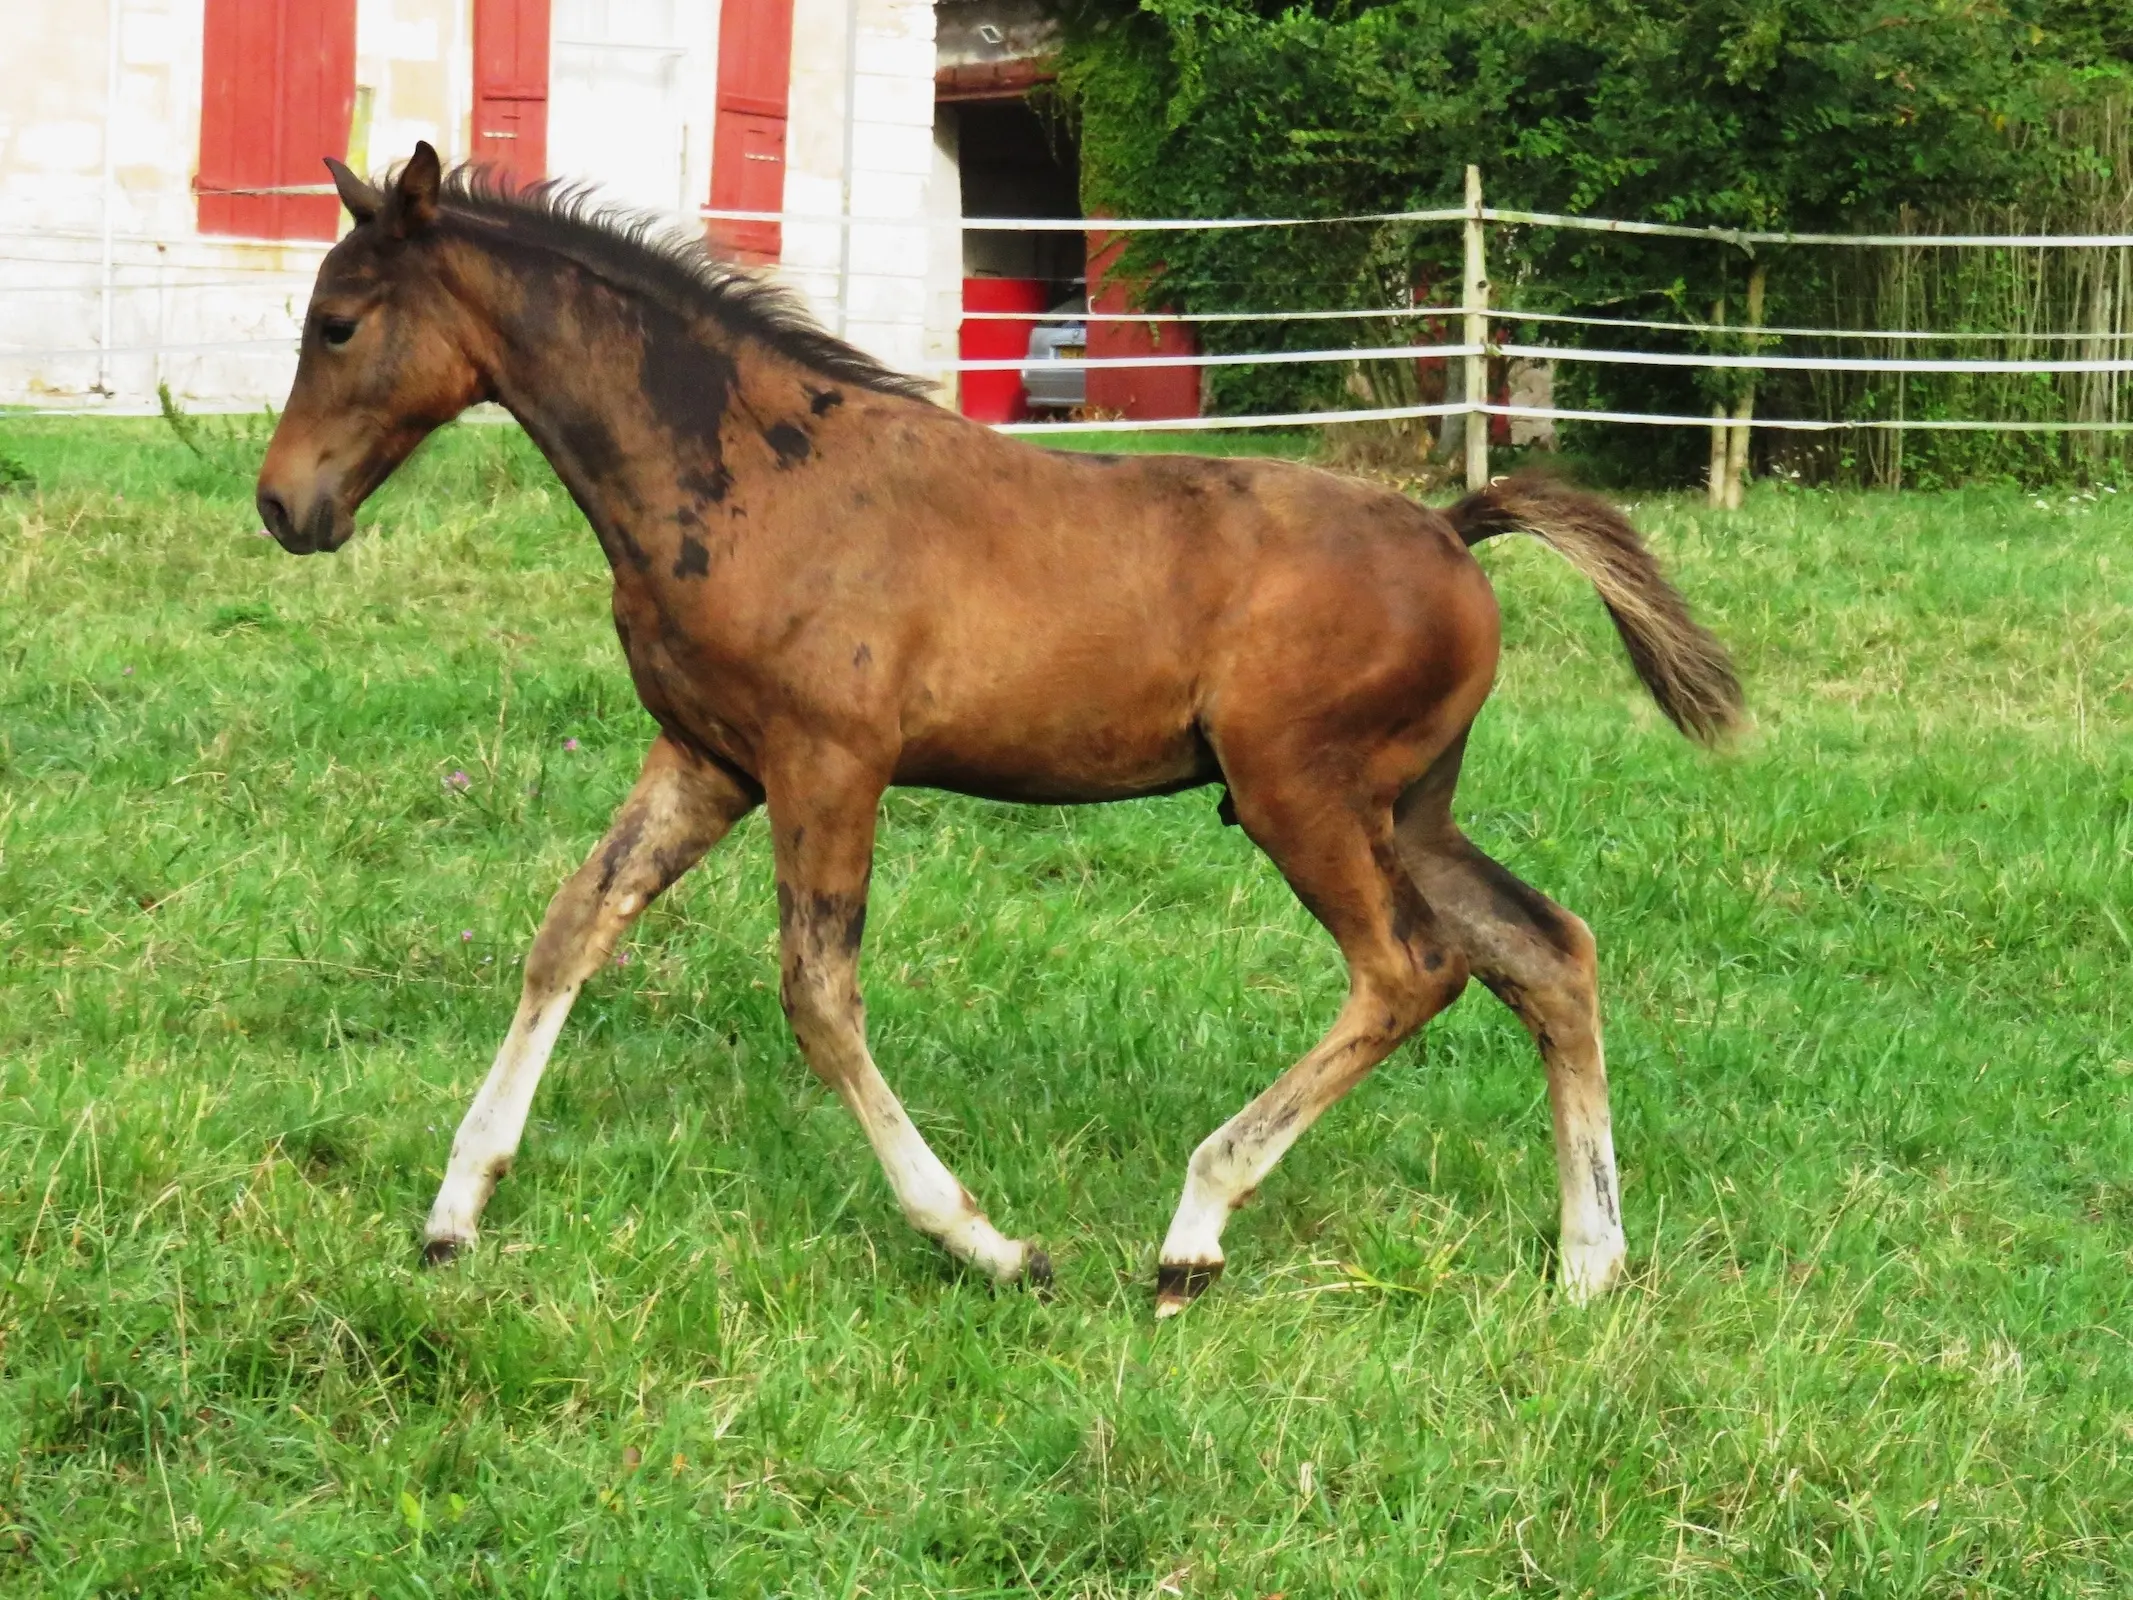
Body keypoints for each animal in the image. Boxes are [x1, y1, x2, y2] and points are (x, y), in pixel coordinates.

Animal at [258, 144, 1740, 1305]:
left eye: (339, 323)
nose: (284, 506)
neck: (751, 473)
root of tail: (1449, 529)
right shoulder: (710, 758)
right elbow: (572, 931)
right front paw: (453, 1213)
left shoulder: (829, 761)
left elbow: (818, 996)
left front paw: (987, 1241)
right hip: (1405, 804)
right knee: (1546, 952)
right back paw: (1588, 1263)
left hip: (1295, 792)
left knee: (1411, 968)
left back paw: (1194, 1230)